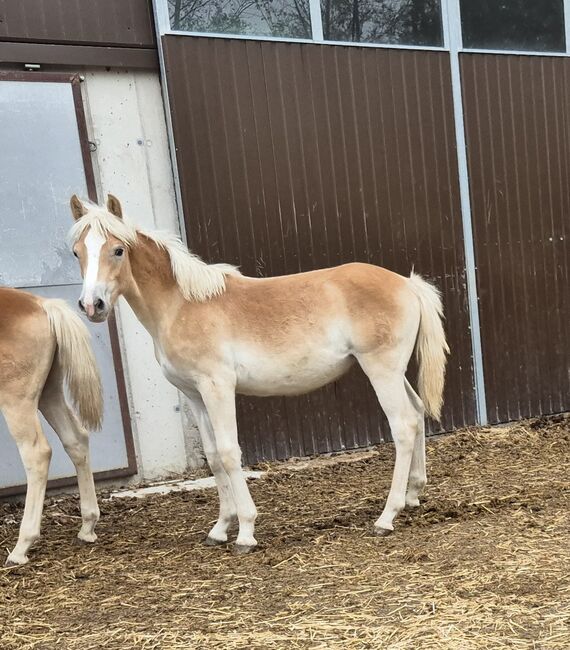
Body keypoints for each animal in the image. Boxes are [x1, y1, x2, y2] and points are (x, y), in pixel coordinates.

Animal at [0, 286, 102, 564]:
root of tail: (43, 305)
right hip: (50, 392)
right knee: (76, 439)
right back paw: (87, 526)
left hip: (17, 401)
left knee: (37, 453)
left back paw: (21, 548)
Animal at [67, 192, 448, 552]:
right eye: (76, 252)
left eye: (118, 250)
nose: (92, 305)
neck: (182, 305)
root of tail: (407, 283)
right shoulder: (195, 395)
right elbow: (213, 457)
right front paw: (220, 529)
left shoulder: (218, 387)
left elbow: (229, 452)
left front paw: (246, 533)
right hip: (394, 373)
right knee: (417, 413)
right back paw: (413, 495)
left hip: (381, 370)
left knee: (404, 426)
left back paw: (387, 517)